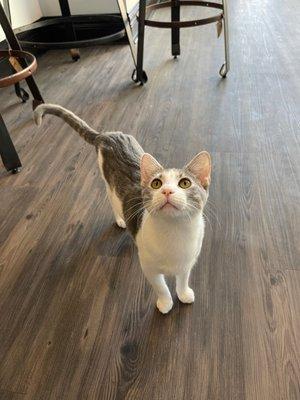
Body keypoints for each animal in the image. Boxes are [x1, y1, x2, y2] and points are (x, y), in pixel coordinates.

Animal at [33, 104, 211, 314]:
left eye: (184, 183)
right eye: (156, 184)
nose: (167, 191)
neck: (175, 232)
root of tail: (107, 134)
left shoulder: (188, 262)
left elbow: (183, 279)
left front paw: (184, 294)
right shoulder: (149, 268)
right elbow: (161, 287)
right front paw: (165, 303)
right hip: (109, 187)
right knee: (111, 201)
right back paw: (120, 220)